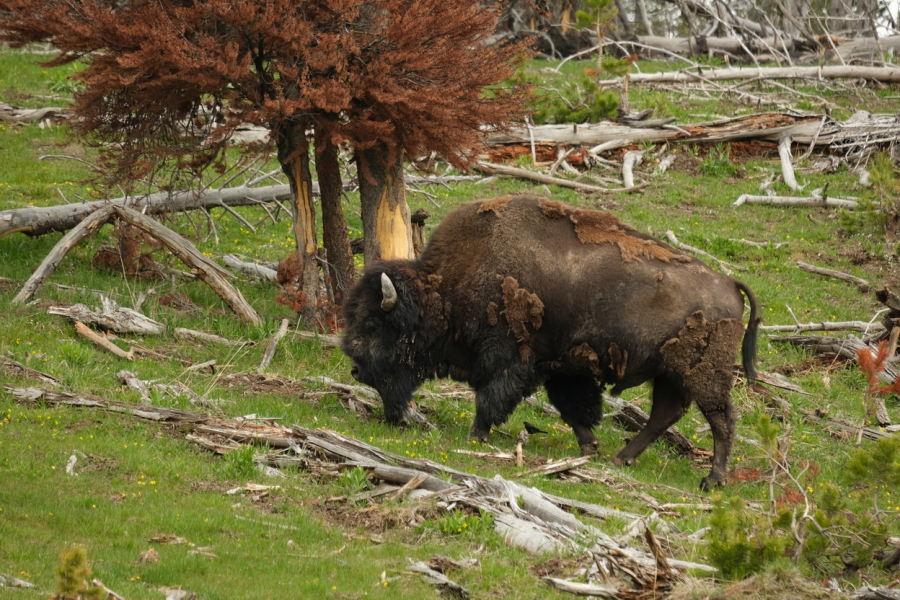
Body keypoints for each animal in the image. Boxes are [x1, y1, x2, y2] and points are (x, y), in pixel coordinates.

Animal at [342, 194, 759, 489]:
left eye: (375, 324)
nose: (356, 366)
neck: (445, 290)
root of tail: (728, 283)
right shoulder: (560, 368)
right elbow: (574, 408)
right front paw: (588, 448)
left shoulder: (509, 358)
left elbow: (491, 398)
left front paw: (477, 437)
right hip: (670, 373)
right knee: (666, 414)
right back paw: (621, 459)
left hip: (702, 375)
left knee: (721, 419)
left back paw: (712, 480)